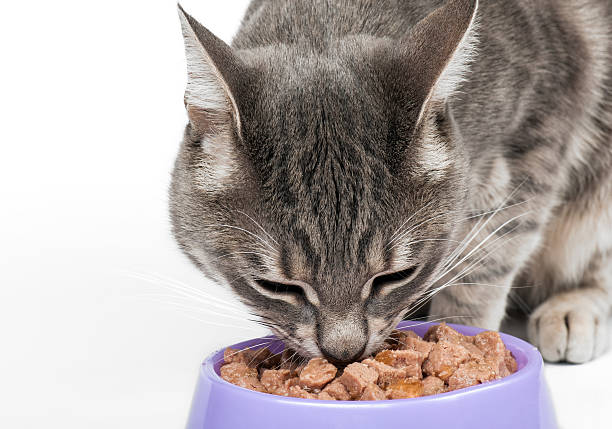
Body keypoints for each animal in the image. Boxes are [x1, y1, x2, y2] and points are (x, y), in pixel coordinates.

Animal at [170, 0, 612, 362]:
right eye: (276, 286)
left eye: (396, 277)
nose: (343, 353)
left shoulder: (534, 143)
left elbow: (486, 264)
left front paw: (467, 338)